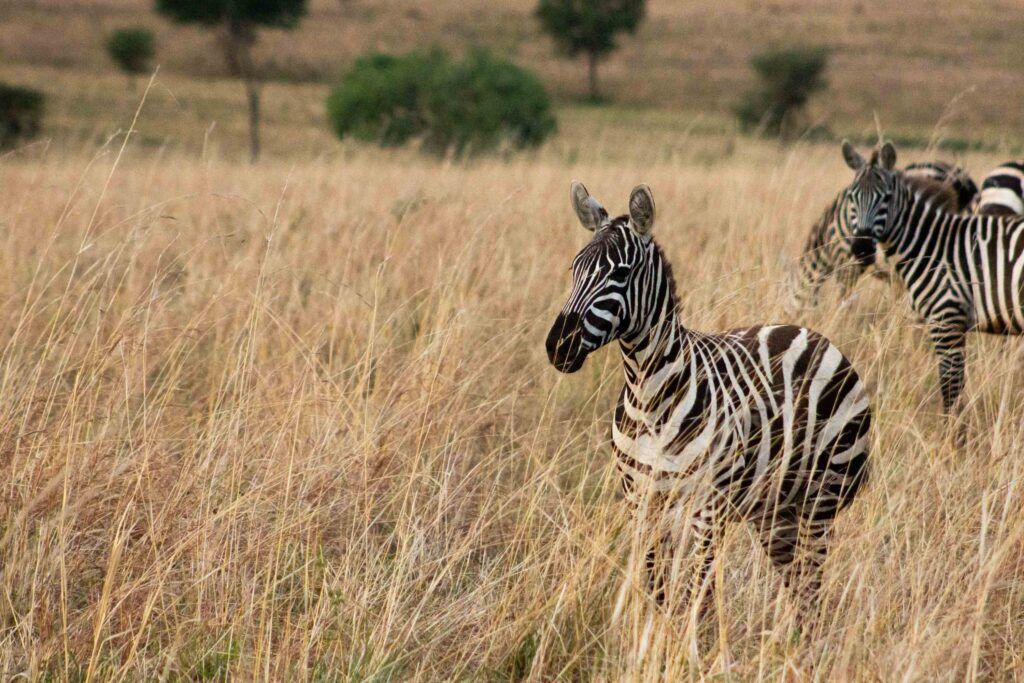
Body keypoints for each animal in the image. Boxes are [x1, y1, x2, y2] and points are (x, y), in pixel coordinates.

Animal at [546, 182, 871, 622]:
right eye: (574, 270)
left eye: (621, 273)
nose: (557, 346)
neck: (649, 398)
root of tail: (813, 333)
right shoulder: (640, 501)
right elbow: (658, 590)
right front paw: (658, 635)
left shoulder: (706, 507)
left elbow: (697, 598)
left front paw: (688, 641)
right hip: (774, 511)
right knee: (800, 586)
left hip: (821, 495)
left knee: (812, 586)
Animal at [840, 140, 1024, 417]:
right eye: (852, 197)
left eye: (886, 198)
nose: (861, 249)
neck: (930, 246)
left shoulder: (947, 321)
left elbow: (950, 392)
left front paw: (951, 430)